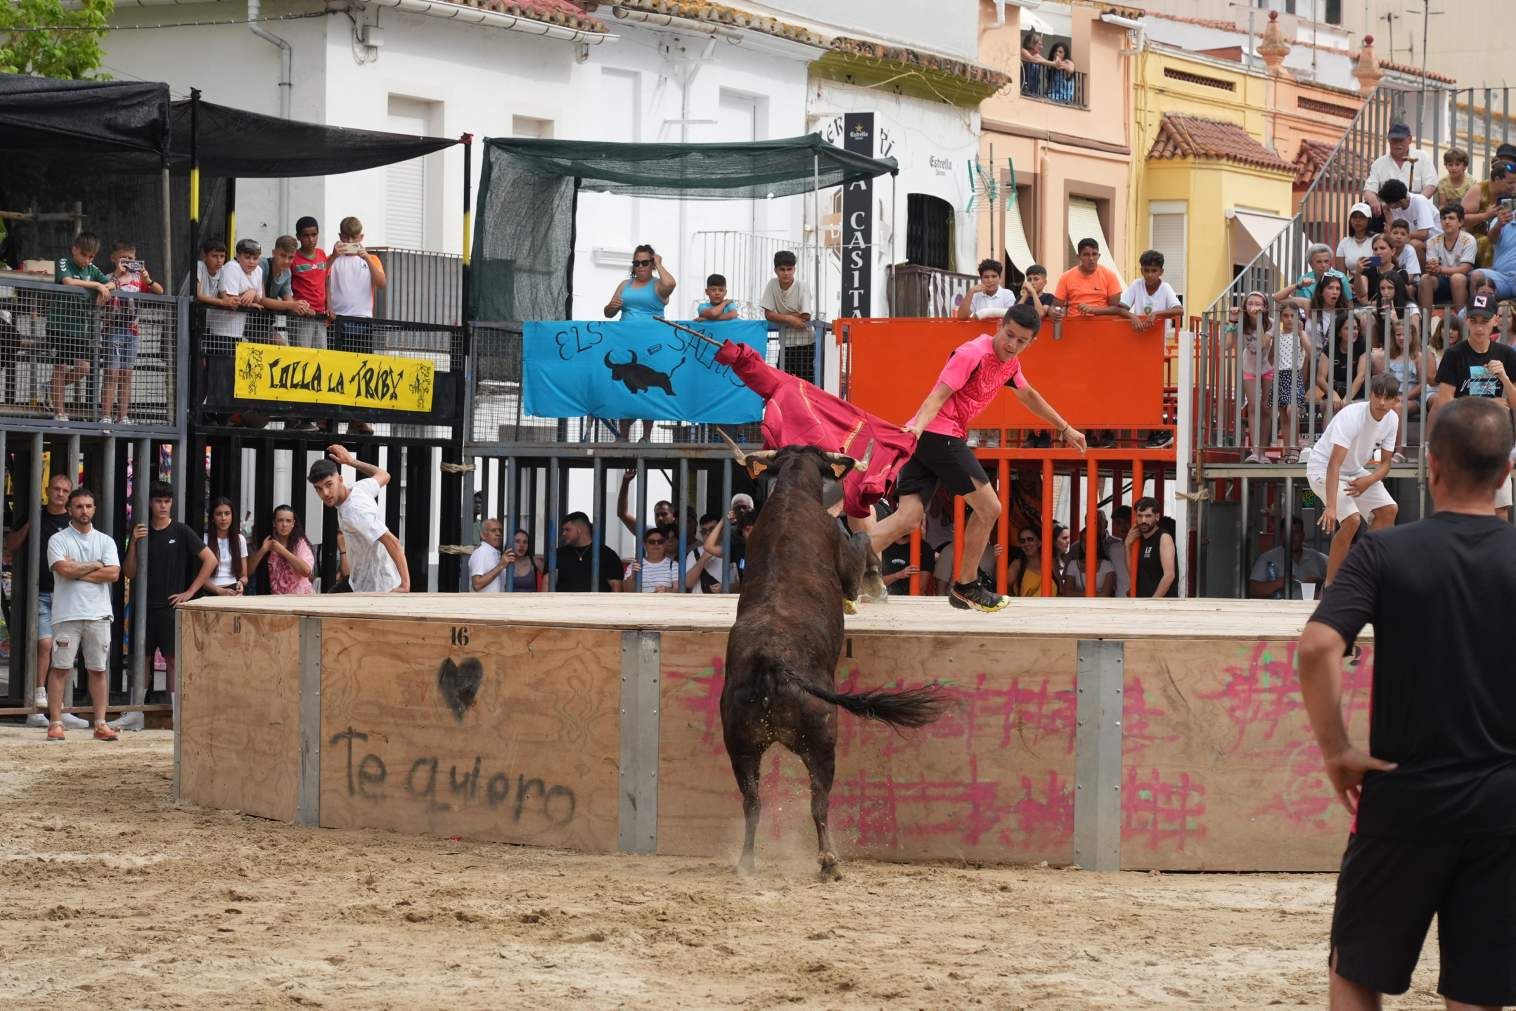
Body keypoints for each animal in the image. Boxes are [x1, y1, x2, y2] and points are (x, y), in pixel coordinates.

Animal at [718, 436, 945, 879]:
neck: (792, 492)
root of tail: (771, 664)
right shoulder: (846, 557)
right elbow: (861, 547)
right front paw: (869, 586)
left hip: (740, 746)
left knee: (752, 803)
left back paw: (746, 862)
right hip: (822, 741)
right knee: (818, 801)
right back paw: (829, 861)